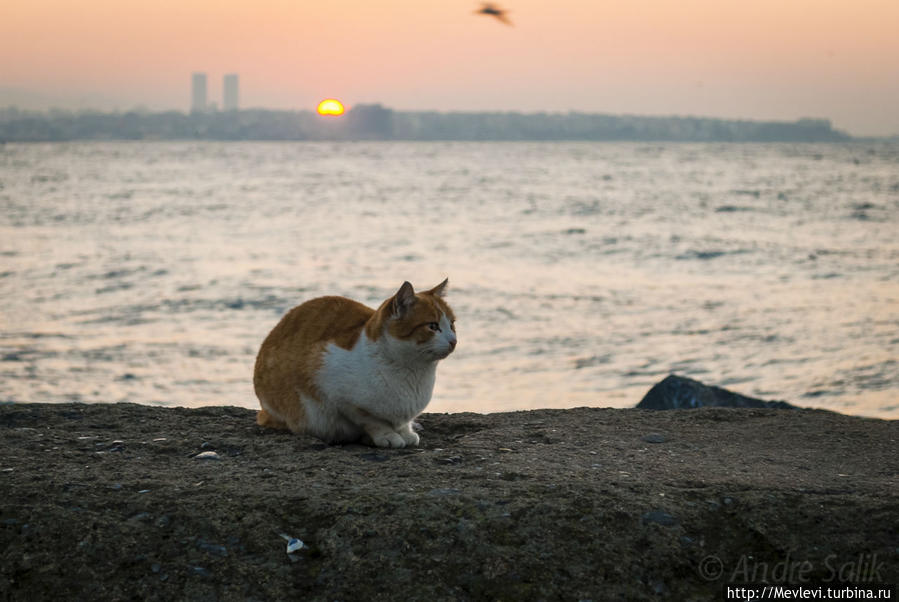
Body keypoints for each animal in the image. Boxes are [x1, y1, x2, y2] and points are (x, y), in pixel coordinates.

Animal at [253, 278, 458, 446]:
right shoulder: (334, 390)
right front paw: (387, 435)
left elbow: (401, 423)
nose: (453, 341)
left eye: (452, 324)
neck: (413, 373)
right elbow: (372, 420)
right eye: (433, 326)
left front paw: (405, 432)